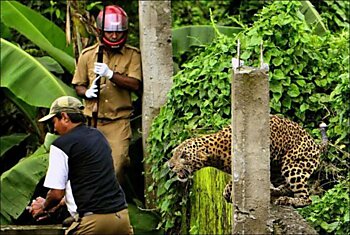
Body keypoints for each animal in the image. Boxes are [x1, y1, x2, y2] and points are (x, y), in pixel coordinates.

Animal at [167, 114, 328, 207]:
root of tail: (316, 144)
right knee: (285, 186)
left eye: (184, 156)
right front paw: (228, 192)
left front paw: (231, 192)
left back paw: (289, 200)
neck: (216, 152)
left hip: (291, 165)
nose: (170, 166)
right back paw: (275, 191)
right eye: (174, 153)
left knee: (306, 198)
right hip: (277, 167)